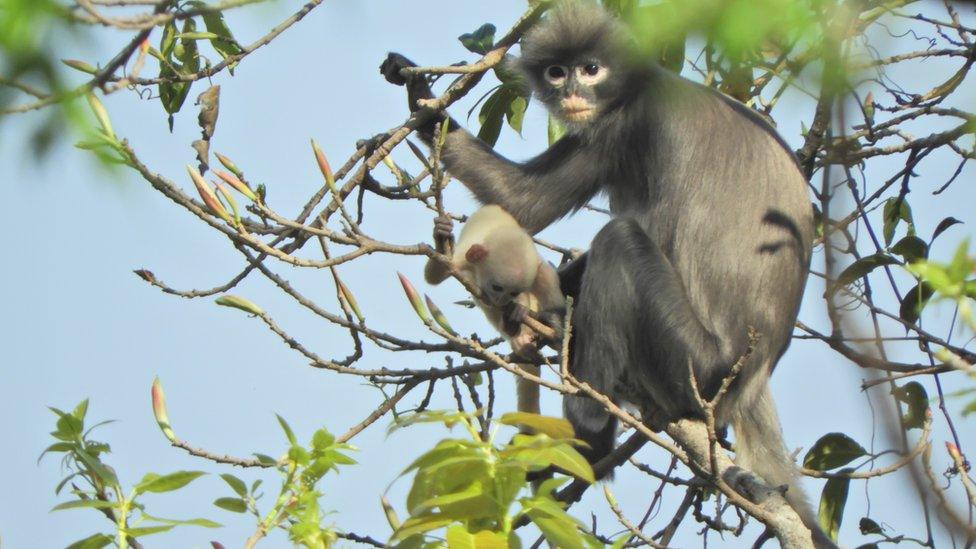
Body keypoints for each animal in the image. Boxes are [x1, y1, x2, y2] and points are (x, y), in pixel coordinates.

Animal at [382, 0, 824, 544]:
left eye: (592, 69)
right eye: (558, 71)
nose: (573, 92)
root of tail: (751, 379)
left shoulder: (634, 125)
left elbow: (545, 208)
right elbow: (523, 201)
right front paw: (417, 91)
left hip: (694, 364)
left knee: (620, 241)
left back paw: (587, 440)